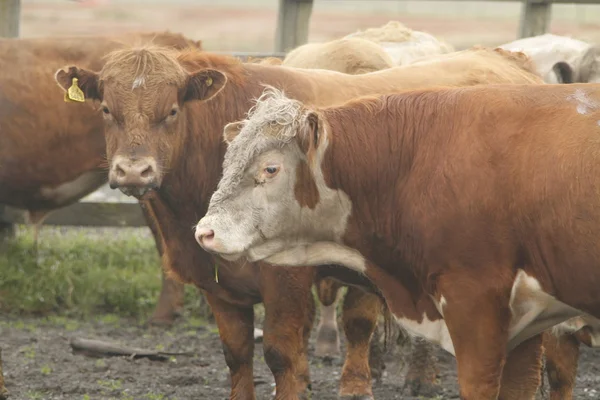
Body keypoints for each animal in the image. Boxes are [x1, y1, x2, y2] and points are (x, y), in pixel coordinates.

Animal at [55, 45, 544, 398]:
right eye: (106, 110)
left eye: (172, 111)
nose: (133, 171)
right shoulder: (218, 284)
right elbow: (237, 354)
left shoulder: (285, 280)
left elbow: (280, 352)